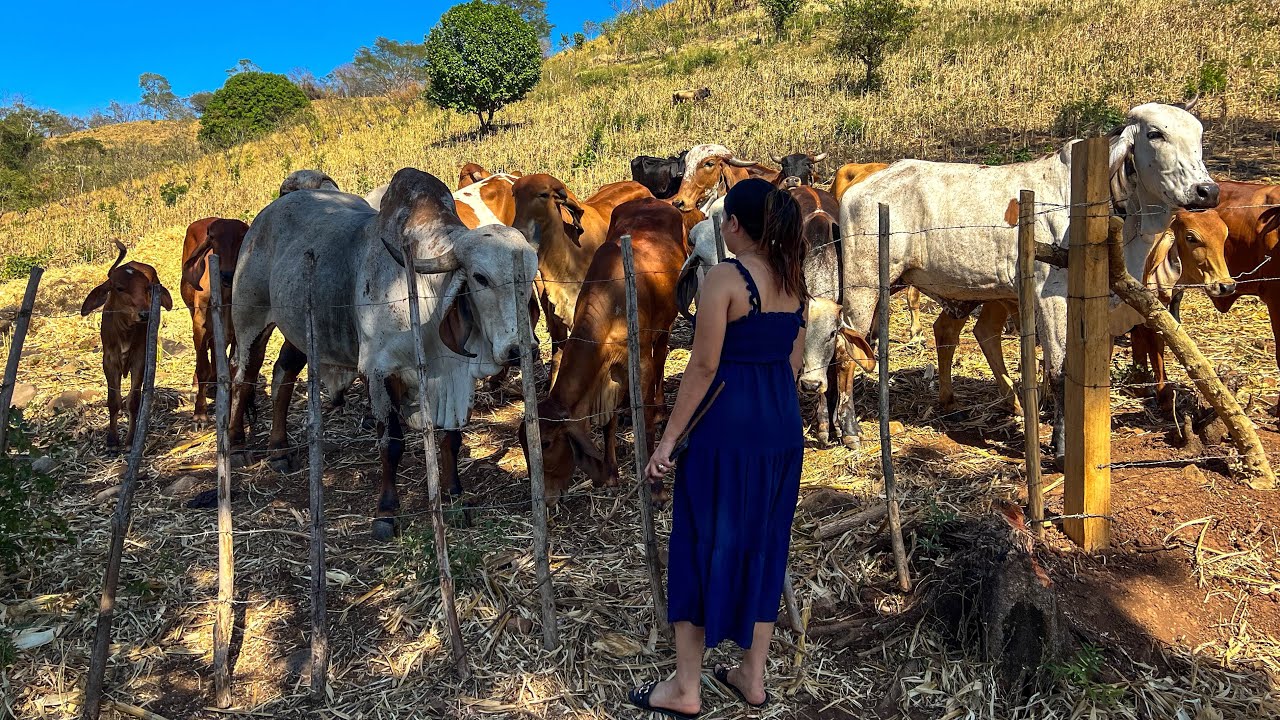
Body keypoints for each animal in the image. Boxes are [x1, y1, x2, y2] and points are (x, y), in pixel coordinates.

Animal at [79, 241, 174, 449]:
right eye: (119, 288)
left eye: (147, 287)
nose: (145, 314)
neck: (124, 331)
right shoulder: (109, 361)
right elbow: (113, 401)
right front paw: (112, 440)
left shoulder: (139, 360)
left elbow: (133, 401)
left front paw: (130, 440)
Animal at [180, 217, 250, 423]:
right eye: (212, 237)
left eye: (242, 236)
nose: (226, 274)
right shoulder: (199, 324)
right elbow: (202, 366)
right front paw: (200, 414)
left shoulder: (236, 329)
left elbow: (232, 367)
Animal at [228, 168, 537, 539]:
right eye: (480, 277)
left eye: (531, 276)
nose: (519, 349)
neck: (422, 293)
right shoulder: (378, 371)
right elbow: (391, 444)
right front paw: (386, 513)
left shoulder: (456, 376)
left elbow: (451, 438)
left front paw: (455, 496)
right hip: (250, 319)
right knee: (243, 375)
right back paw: (237, 447)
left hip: (304, 330)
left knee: (282, 374)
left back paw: (278, 450)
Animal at [519, 198, 687, 503]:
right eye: (523, 443)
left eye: (546, 443)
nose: (546, 498)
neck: (610, 302)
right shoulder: (609, 372)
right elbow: (608, 423)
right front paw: (610, 474)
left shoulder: (639, 363)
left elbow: (645, 423)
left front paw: (656, 489)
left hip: (665, 323)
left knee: (662, 357)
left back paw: (661, 409)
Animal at [839, 103, 1219, 461]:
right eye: (1155, 134)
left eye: (1199, 135)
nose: (1207, 191)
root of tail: (861, 186)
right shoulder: (1051, 297)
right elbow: (1060, 372)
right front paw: (1062, 447)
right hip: (863, 286)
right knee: (846, 350)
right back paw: (849, 431)